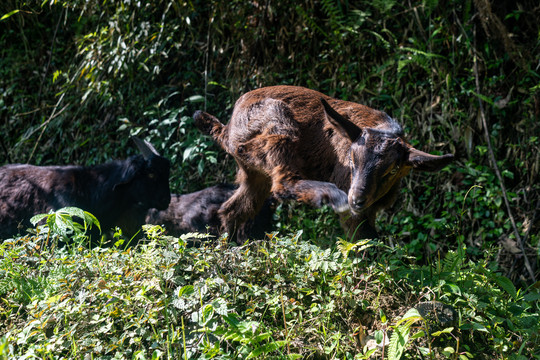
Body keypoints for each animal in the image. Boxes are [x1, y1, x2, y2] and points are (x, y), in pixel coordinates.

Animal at [192, 85, 454, 239]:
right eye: (351, 160)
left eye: (392, 170)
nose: (356, 199)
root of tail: (228, 129)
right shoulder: (354, 205)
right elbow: (360, 236)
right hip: (275, 124)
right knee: (283, 182)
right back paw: (329, 195)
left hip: (254, 172)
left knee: (234, 209)